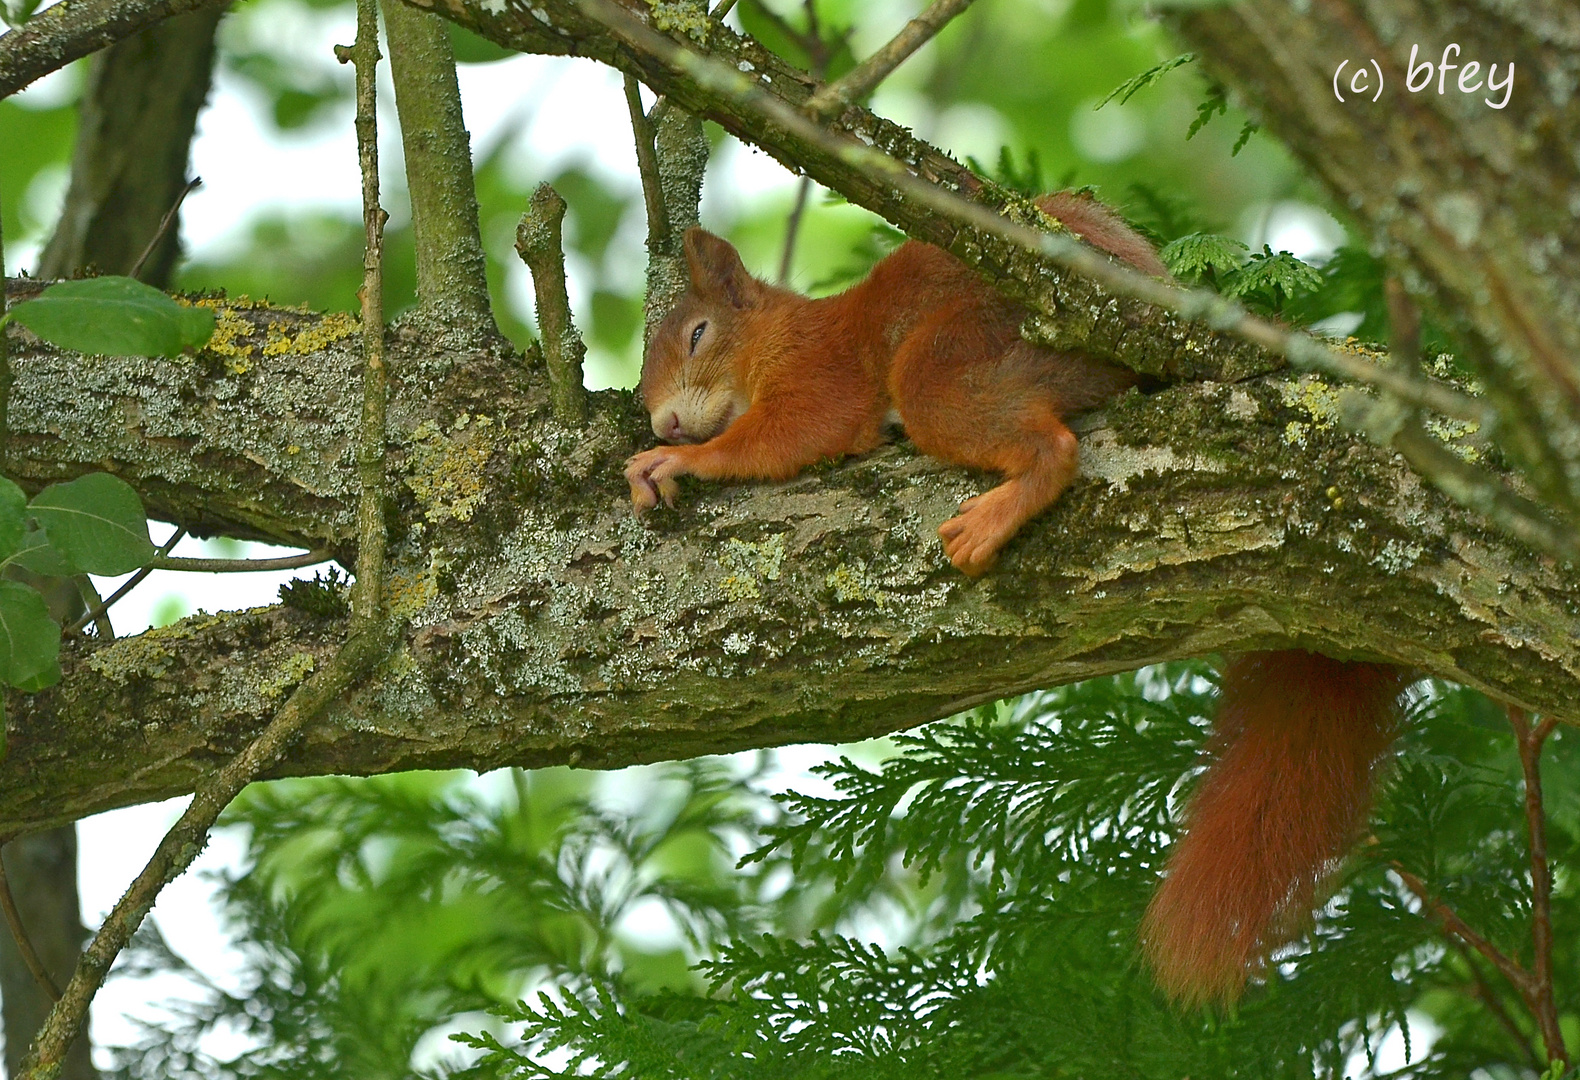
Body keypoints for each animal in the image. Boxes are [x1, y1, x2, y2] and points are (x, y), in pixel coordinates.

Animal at [622, 194, 1403, 1004]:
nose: (664, 420)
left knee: (1045, 445)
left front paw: (674, 459)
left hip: (957, 351)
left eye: (698, 334)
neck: (779, 335)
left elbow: (790, 433)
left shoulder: (819, 374)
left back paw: (993, 515)